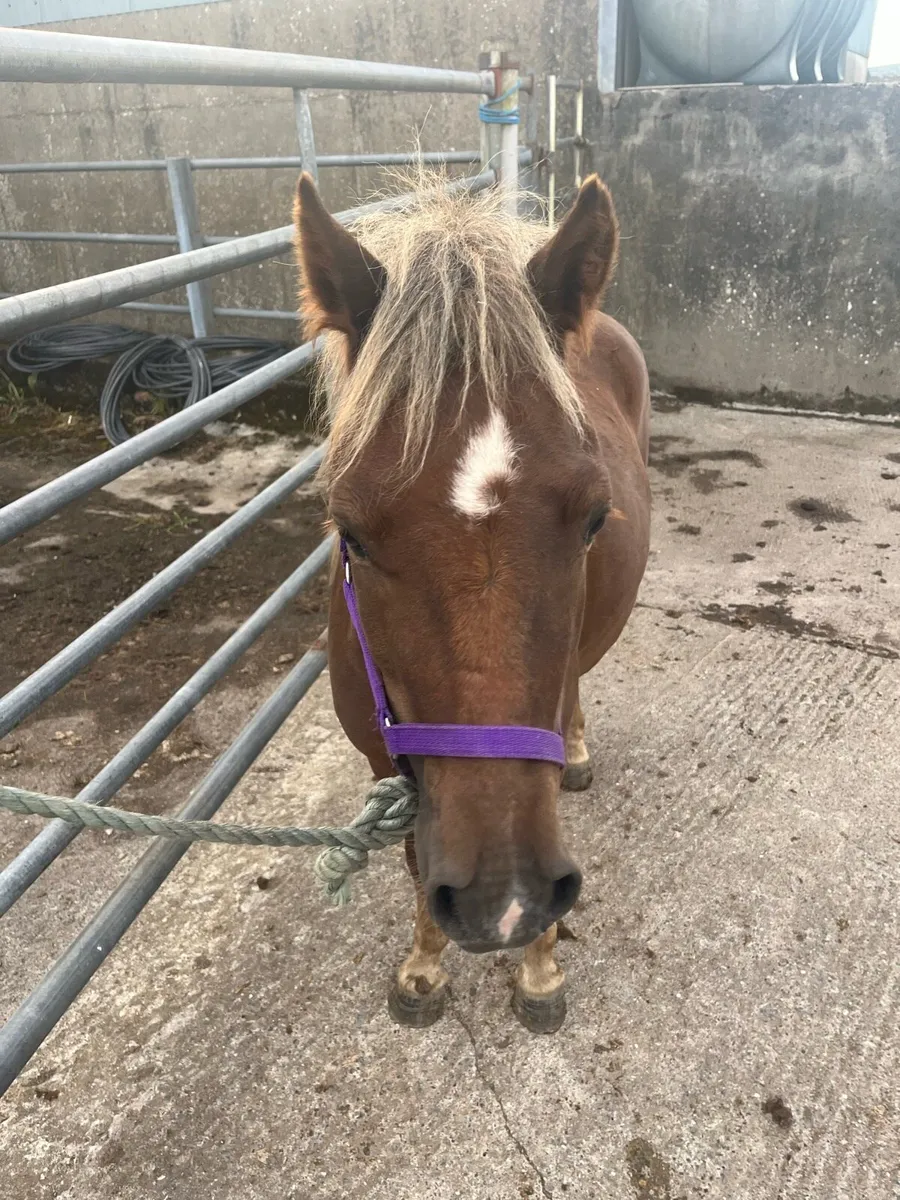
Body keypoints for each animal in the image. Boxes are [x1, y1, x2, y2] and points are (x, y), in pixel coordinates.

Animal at [293, 170, 650, 1033]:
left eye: (595, 517)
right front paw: (424, 966)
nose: (503, 898)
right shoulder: (394, 764)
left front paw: (540, 969)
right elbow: (416, 857)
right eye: (348, 531)